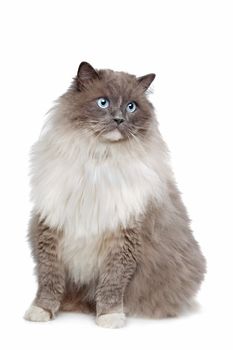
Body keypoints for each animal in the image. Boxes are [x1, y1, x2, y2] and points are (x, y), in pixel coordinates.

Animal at [23, 62, 206, 328]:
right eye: (103, 103)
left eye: (131, 106)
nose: (119, 119)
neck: (100, 159)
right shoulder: (52, 230)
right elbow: (49, 281)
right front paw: (42, 311)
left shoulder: (124, 235)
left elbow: (112, 283)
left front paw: (109, 316)